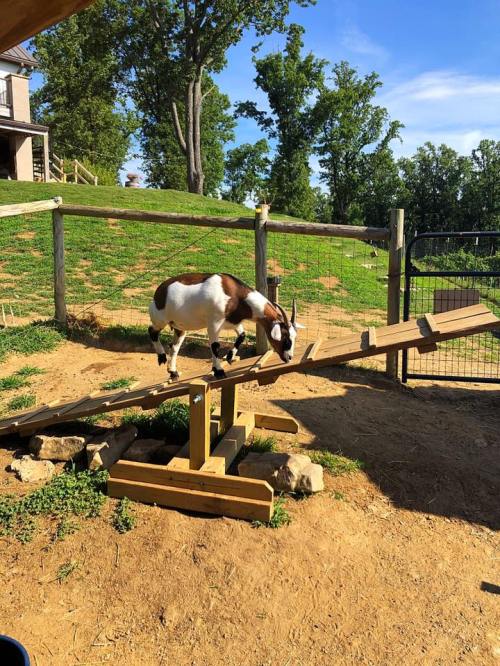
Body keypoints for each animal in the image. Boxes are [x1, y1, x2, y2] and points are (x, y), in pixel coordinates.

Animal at [148, 273, 303, 380]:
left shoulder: (233, 322)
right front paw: (219, 371)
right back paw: (161, 357)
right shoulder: (214, 323)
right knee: (152, 331)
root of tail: (158, 293)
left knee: (174, 347)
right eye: (286, 339)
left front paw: (229, 357)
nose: (289, 358)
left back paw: (173, 372)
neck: (234, 295)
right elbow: (215, 346)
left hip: (180, 327)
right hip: (160, 319)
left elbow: (242, 335)